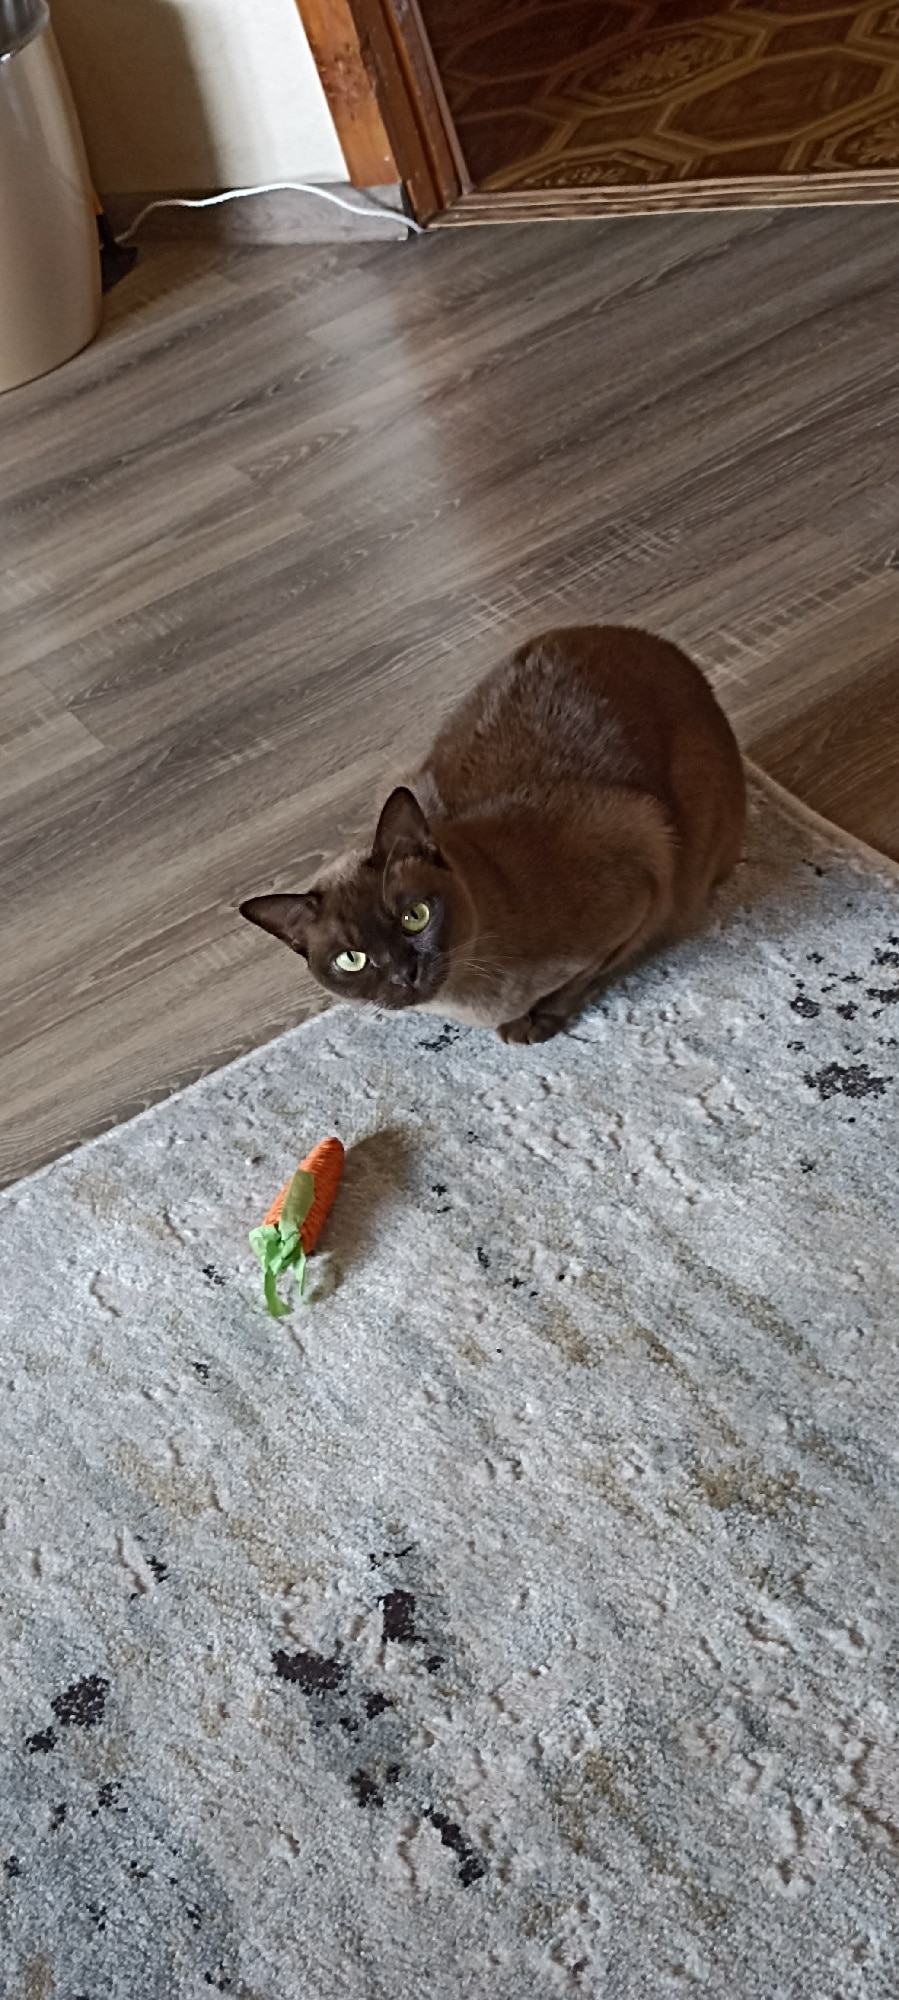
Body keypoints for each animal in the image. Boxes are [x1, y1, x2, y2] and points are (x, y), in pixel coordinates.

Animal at [238, 628, 743, 1048]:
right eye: (351, 960)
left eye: (415, 917)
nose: (405, 974)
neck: (468, 999)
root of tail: (657, 643)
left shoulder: (643, 870)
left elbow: (584, 977)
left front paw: (534, 1024)